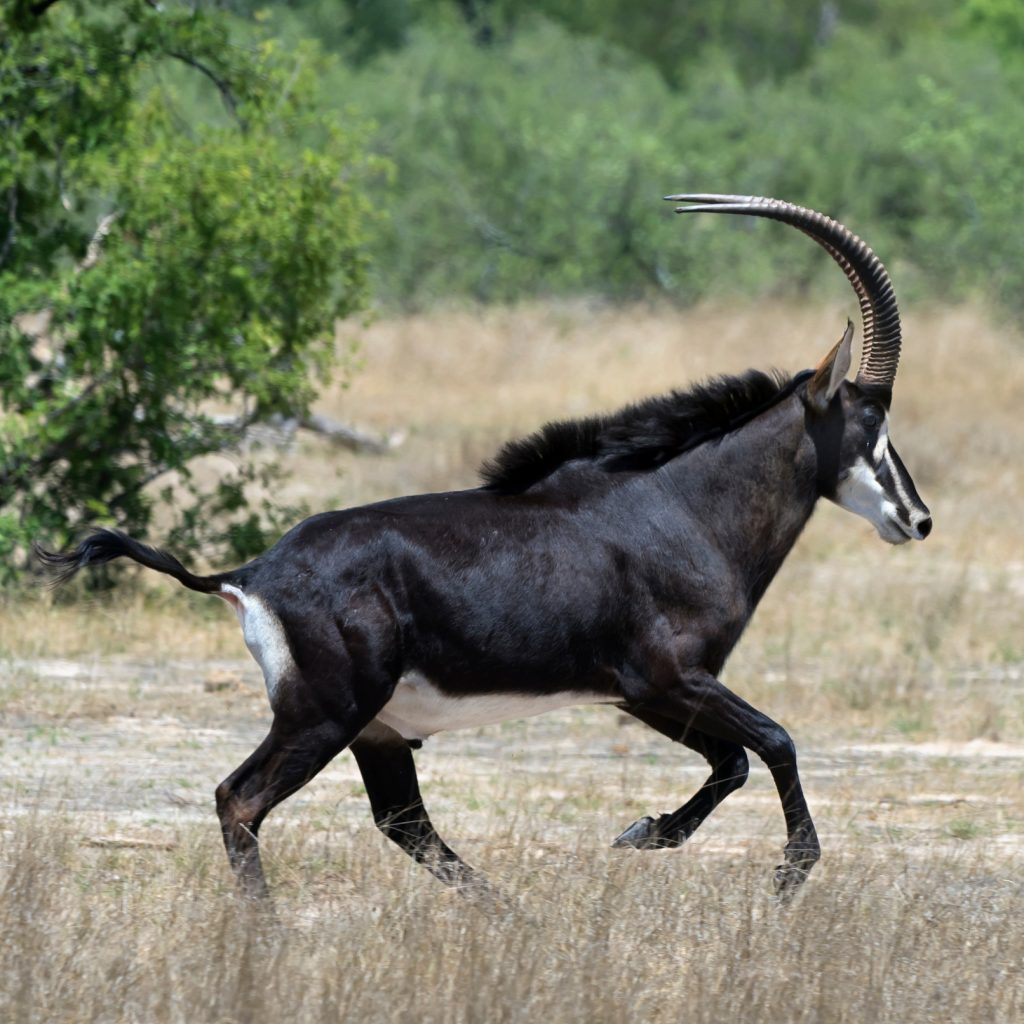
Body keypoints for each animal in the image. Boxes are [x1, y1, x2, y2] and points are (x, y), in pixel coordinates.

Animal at [38, 194, 931, 901]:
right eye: (871, 424)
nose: (918, 520)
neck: (677, 506)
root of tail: (250, 572)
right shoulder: (666, 678)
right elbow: (773, 743)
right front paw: (782, 874)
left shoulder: (642, 695)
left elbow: (734, 762)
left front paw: (644, 832)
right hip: (327, 713)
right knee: (241, 799)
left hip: (377, 729)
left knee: (404, 823)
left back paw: (511, 915)